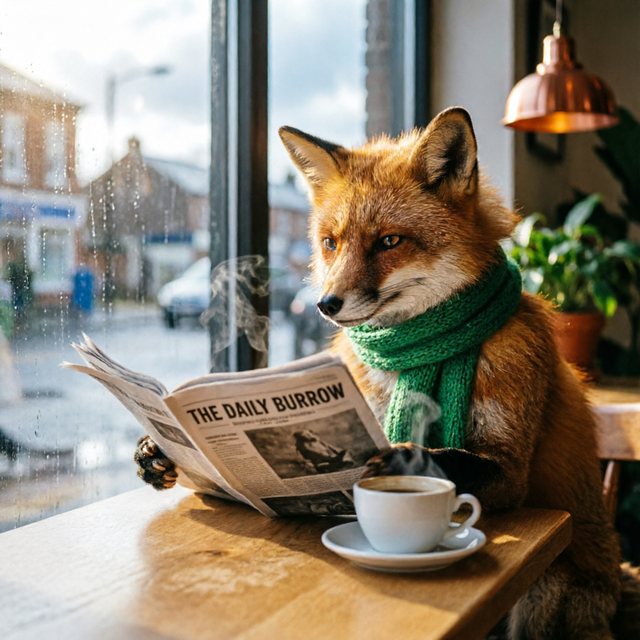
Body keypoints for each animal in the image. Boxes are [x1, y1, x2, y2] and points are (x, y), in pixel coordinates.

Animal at [135, 107, 640, 639]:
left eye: (389, 241)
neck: (411, 355)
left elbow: (459, 461)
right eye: (330, 243)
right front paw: (158, 452)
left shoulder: (511, 473)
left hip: (547, 590)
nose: (325, 304)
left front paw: (398, 461)